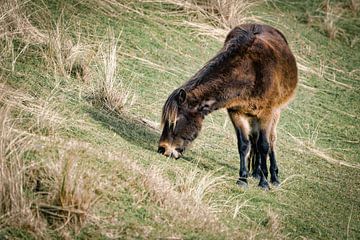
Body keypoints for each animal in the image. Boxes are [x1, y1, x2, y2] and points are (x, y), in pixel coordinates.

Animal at [158, 23, 298, 189]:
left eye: (174, 121)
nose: (162, 148)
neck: (249, 72)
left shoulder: (266, 114)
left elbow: (264, 145)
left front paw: (264, 182)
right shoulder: (236, 113)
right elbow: (244, 145)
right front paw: (243, 178)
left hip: (275, 113)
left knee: (271, 141)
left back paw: (273, 177)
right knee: (254, 140)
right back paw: (256, 172)